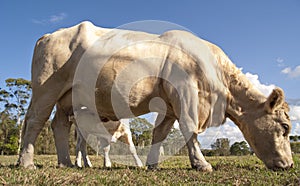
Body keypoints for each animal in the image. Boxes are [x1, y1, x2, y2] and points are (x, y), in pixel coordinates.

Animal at [18, 21, 292, 171]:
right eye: (285, 127)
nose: (290, 164)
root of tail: (50, 35)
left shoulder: (169, 104)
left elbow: (160, 133)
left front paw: (152, 164)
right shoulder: (185, 93)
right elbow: (189, 128)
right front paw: (201, 164)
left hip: (67, 98)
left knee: (59, 124)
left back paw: (65, 161)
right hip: (46, 88)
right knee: (35, 121)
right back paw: (27, 162)